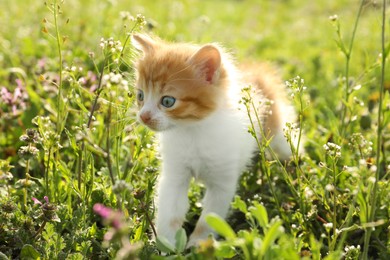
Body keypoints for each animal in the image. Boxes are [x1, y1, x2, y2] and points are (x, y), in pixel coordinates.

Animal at [133, 33, 298, 247]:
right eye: (140, 96)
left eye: (168, 101)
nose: (144, 116)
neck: (192, 131)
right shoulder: (175, 175)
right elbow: (170, 211)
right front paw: (167, 244)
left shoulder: (223, 180)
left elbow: (210, 217)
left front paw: (199, 244)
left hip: (277, 134)